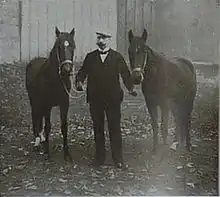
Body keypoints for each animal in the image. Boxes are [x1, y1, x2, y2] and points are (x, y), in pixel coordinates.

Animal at [25, 26, 75, 161]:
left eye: (73, 46)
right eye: (59, 46)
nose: (67, 69)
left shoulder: (64, 103)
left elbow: (64, 126)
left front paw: (67, 154)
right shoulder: (47, 104)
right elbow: (48, 126)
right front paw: (47, 153)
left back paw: (41, 139)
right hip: (34, 101)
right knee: (35, 117)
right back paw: (37, 142)